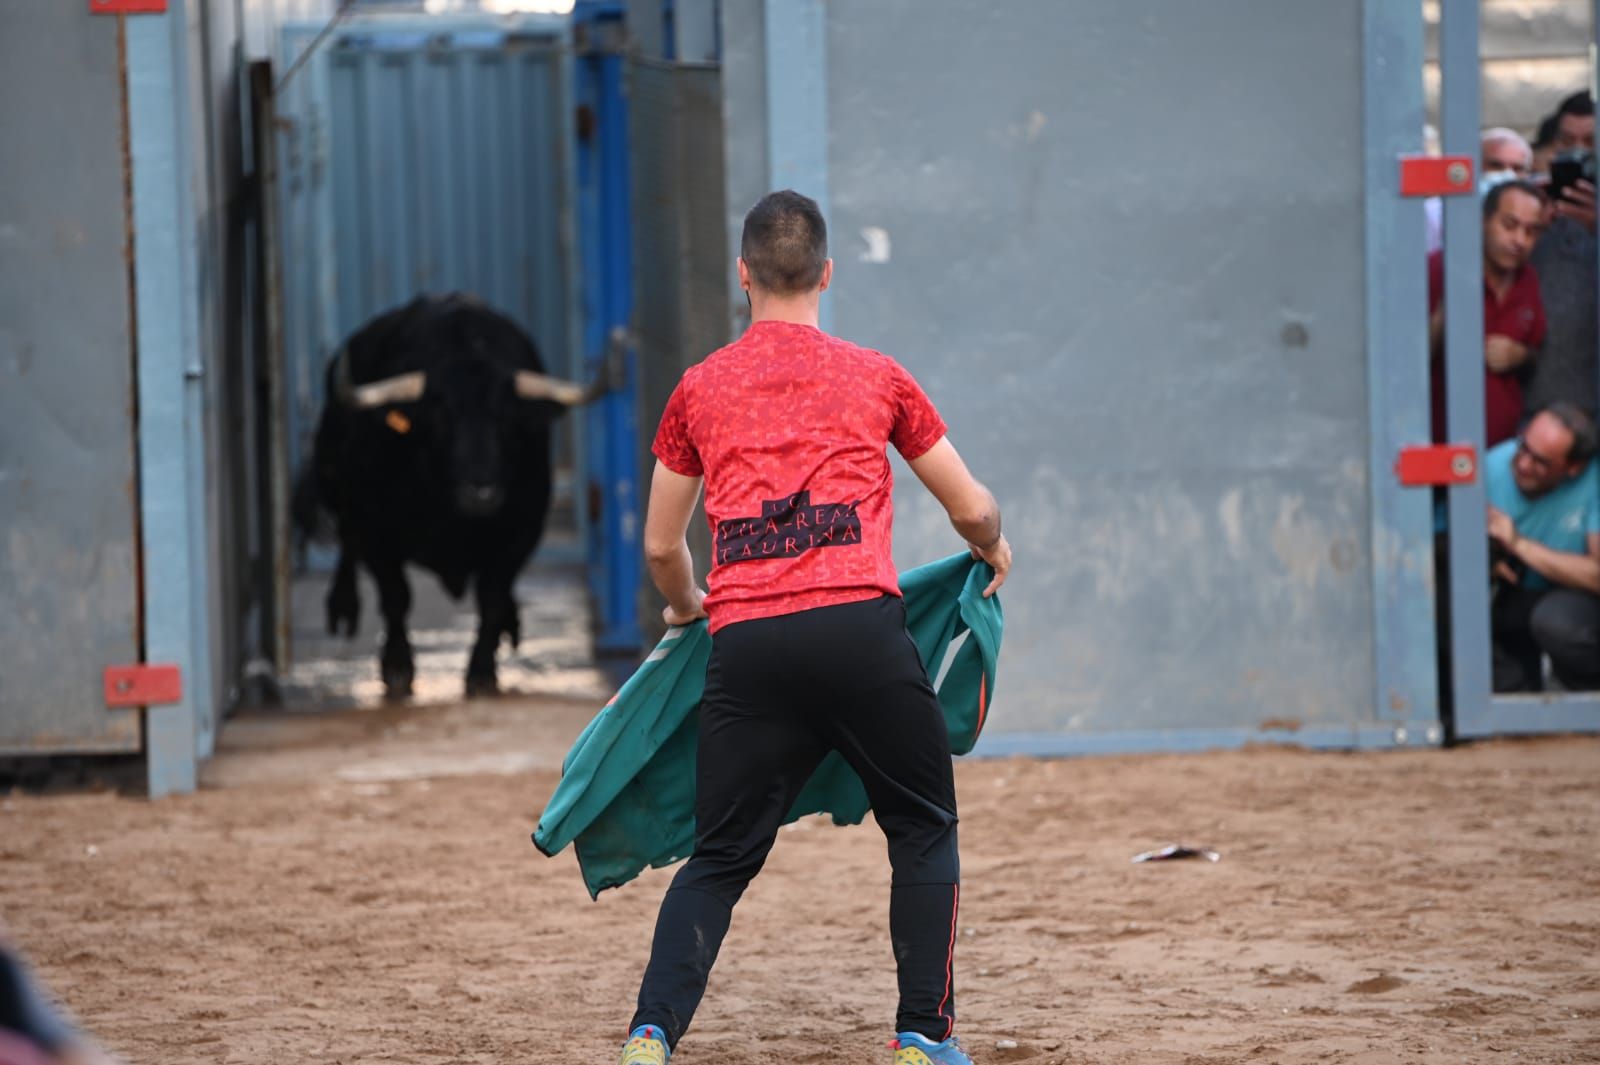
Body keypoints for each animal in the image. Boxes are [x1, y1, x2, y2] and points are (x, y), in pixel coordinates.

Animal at [299, 292, 601, 697]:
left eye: (506, 419)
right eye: (441, 417)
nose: (481, 491)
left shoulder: (523, 532)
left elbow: (491, 596)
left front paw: (482, 671)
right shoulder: (376, 532)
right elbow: (396, 596)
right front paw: (397, 666)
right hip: (332, 478)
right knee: (346, 542)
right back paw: (343, 606)